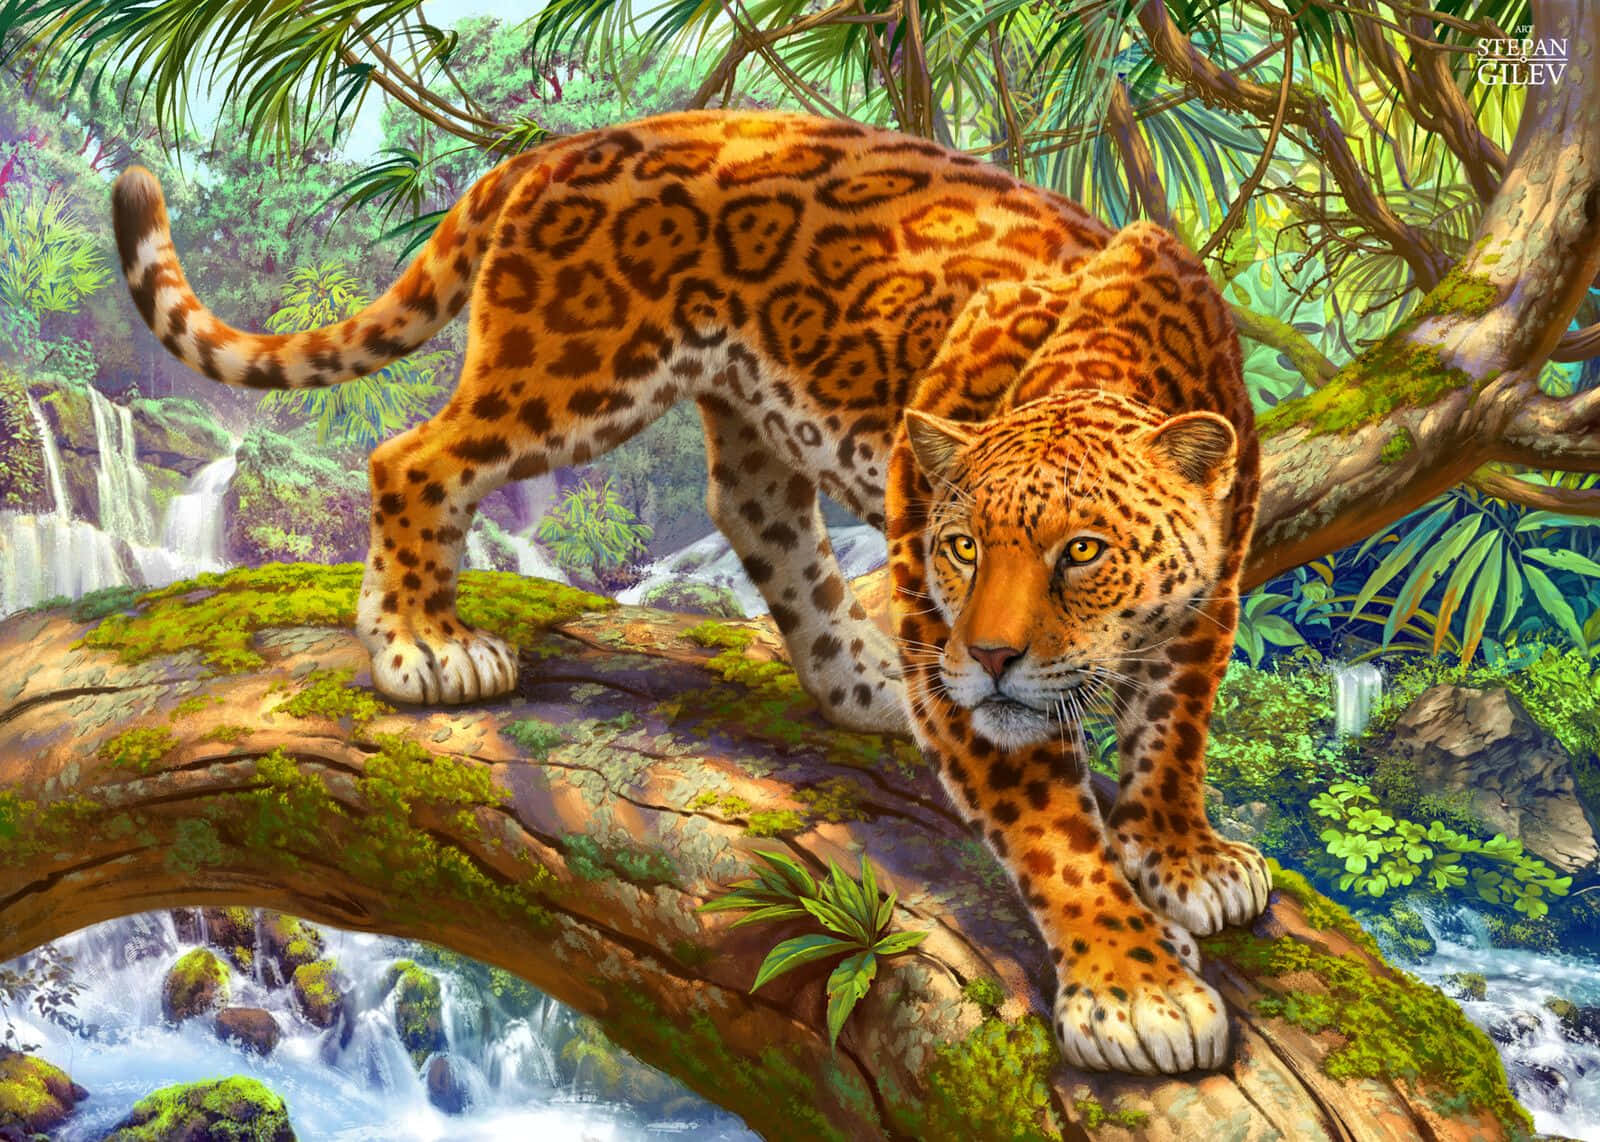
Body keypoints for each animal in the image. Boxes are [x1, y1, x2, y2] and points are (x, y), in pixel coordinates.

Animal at [112, 108, 1271, 1075]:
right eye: (959, 547)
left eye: (1083, 551)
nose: (982, 655)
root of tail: (562, 148)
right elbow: (1057, 837)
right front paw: (1139, 993)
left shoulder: (1212, 599)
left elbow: (1175, 732)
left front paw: (1186, 858)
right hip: (574, 366)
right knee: (415, 458)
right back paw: (423, 643)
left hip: (742, 412)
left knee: (759, 521)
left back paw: (865, 684)